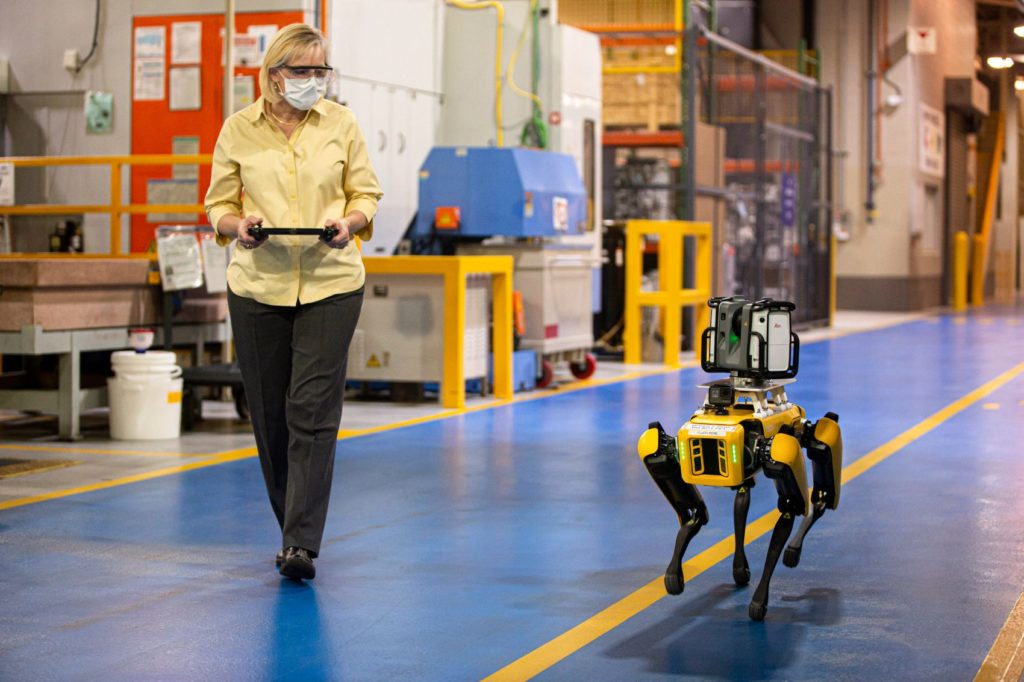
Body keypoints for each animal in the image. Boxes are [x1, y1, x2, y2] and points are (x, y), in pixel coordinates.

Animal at [634, 294, 843, 618]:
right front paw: (675, 570)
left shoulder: (779, 451)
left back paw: (790, 551)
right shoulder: (665, 448)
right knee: (742, 494)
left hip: (800, 433)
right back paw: (740, 568)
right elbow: (691, 510)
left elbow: (790, 508)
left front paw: (760, 599)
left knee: (821, 447)